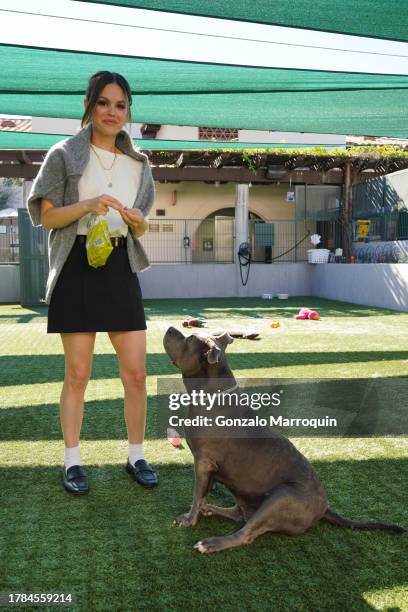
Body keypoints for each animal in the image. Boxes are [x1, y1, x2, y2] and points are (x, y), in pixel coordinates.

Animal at [163, 328, 404, 556]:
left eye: (189, 339)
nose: (171, 328)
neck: (212, 394)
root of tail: (324, 508)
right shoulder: (210, 466)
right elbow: (204, 491)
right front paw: (203, 505)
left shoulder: (203, 461)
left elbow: (197, 494)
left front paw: (189, 519)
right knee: (240, 515)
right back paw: (212, 509)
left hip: (282, 496)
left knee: (246, 533)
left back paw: (212, 543)